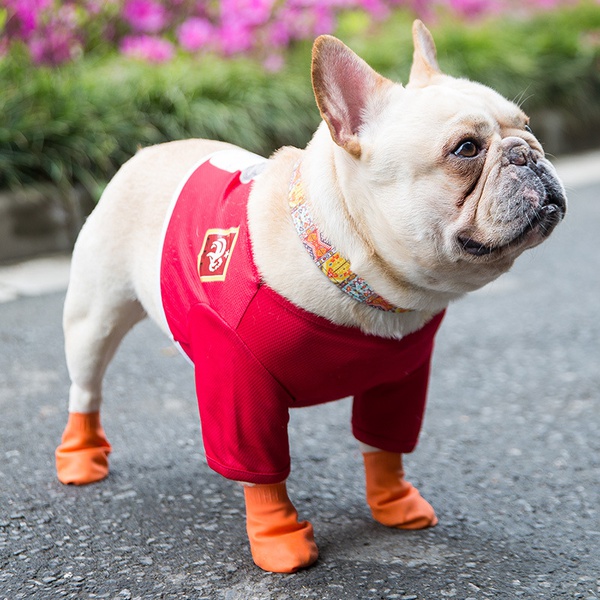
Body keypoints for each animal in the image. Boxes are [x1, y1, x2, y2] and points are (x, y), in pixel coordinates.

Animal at [54, 21, 564, 576]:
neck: (350, 269)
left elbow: (384, 447)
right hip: (94, 317)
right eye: (467, 149)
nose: (528, 153)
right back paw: (80, 457)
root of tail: (147, 151)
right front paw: (278, 539)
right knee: (86, 389)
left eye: (527, 125)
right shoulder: (241, 389)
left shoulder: (401, 381)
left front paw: (394, 503)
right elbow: (263, 474)